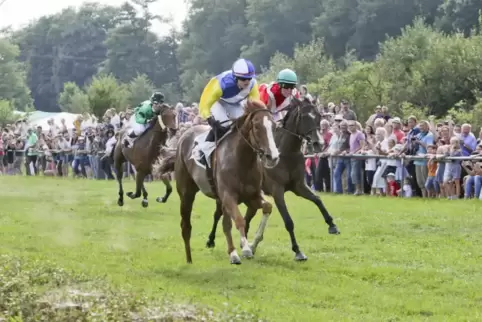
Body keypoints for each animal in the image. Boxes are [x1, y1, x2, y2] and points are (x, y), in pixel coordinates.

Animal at [174, 100, 278, 264]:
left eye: (274, 126)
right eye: (256, 126)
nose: (272, 157)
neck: (242, 160)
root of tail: (184, 134)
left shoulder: (251, 195)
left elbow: (267, 207)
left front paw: (252, 244)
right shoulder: (228, 195)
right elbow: (239, 220)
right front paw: (245, 249)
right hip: (186, 193)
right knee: (186, 225)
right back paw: (189, 259)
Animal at [205, 97, 340, 262]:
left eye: (319, 116)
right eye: (304, 117)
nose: (318, 143)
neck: (287, 152)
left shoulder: (298, 185)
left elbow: (317, 199)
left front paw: (332, 225)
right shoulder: (277, 190)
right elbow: (288, 221)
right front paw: (297, 251)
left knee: (248, 214)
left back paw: (247, 244)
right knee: (218, 213)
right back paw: (212, 240)